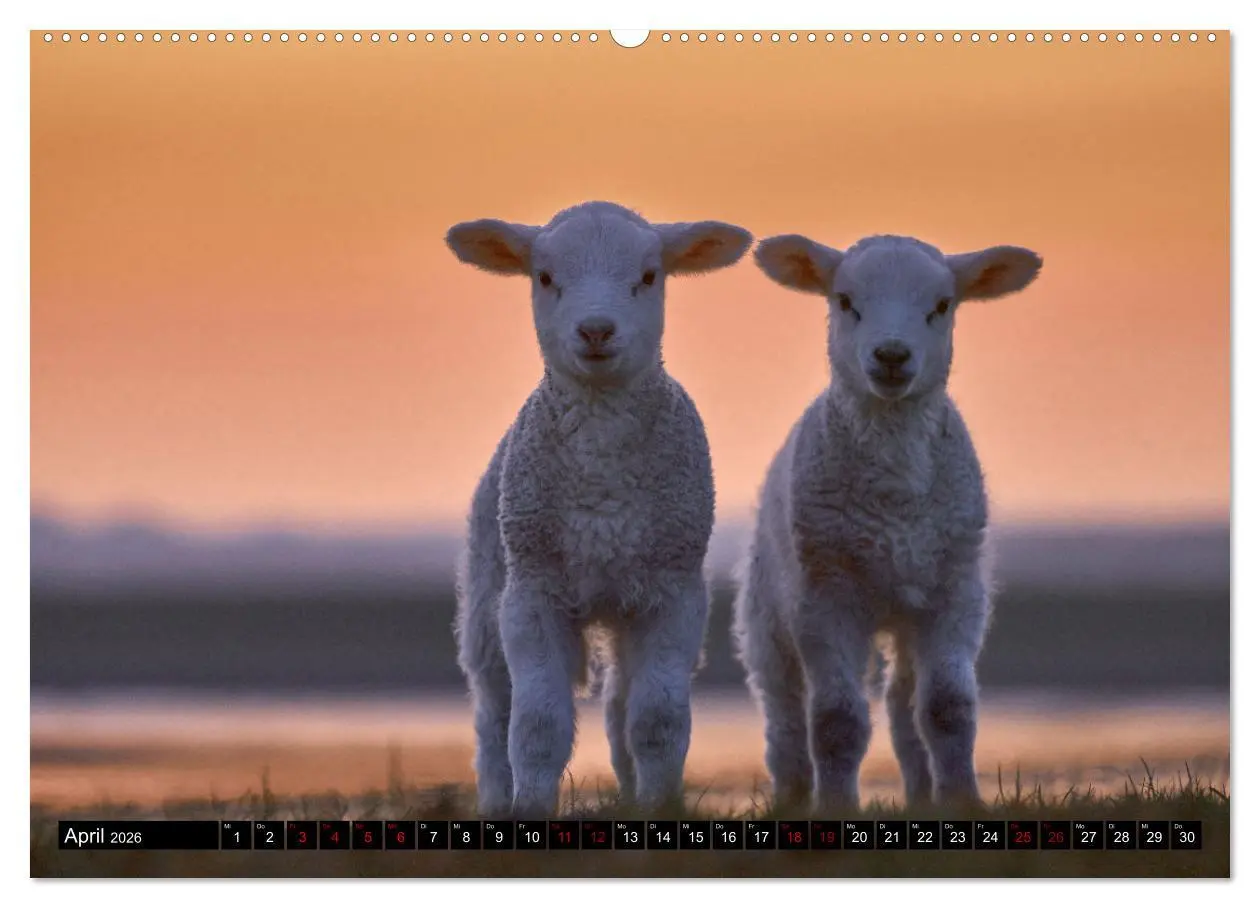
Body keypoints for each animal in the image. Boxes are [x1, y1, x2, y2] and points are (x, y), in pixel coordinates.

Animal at [446, 201, 753, 818]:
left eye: (649, 276)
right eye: (544, 277)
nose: (595, 330)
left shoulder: (674, 593)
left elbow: (657, 720)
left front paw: (659, 808)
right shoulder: (532, 593)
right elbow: (536, 726)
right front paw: (530, 810)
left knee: (618, 707)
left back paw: (634, 795)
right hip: (488, 594)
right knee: (492, 714)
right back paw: (495, 801)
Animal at [733, 232, 1042, 813]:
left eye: (942, 305)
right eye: (844, 300)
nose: (892, 356)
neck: (895, 497)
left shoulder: (955, 591)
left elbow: (947, 708)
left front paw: (962, 801)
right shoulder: (824, 596)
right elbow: (836, 722)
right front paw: (834, 807)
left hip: (907, 609)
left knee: (903, 706)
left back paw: (921, 795)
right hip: (767, 610)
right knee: (784, 712)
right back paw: (791, 797)